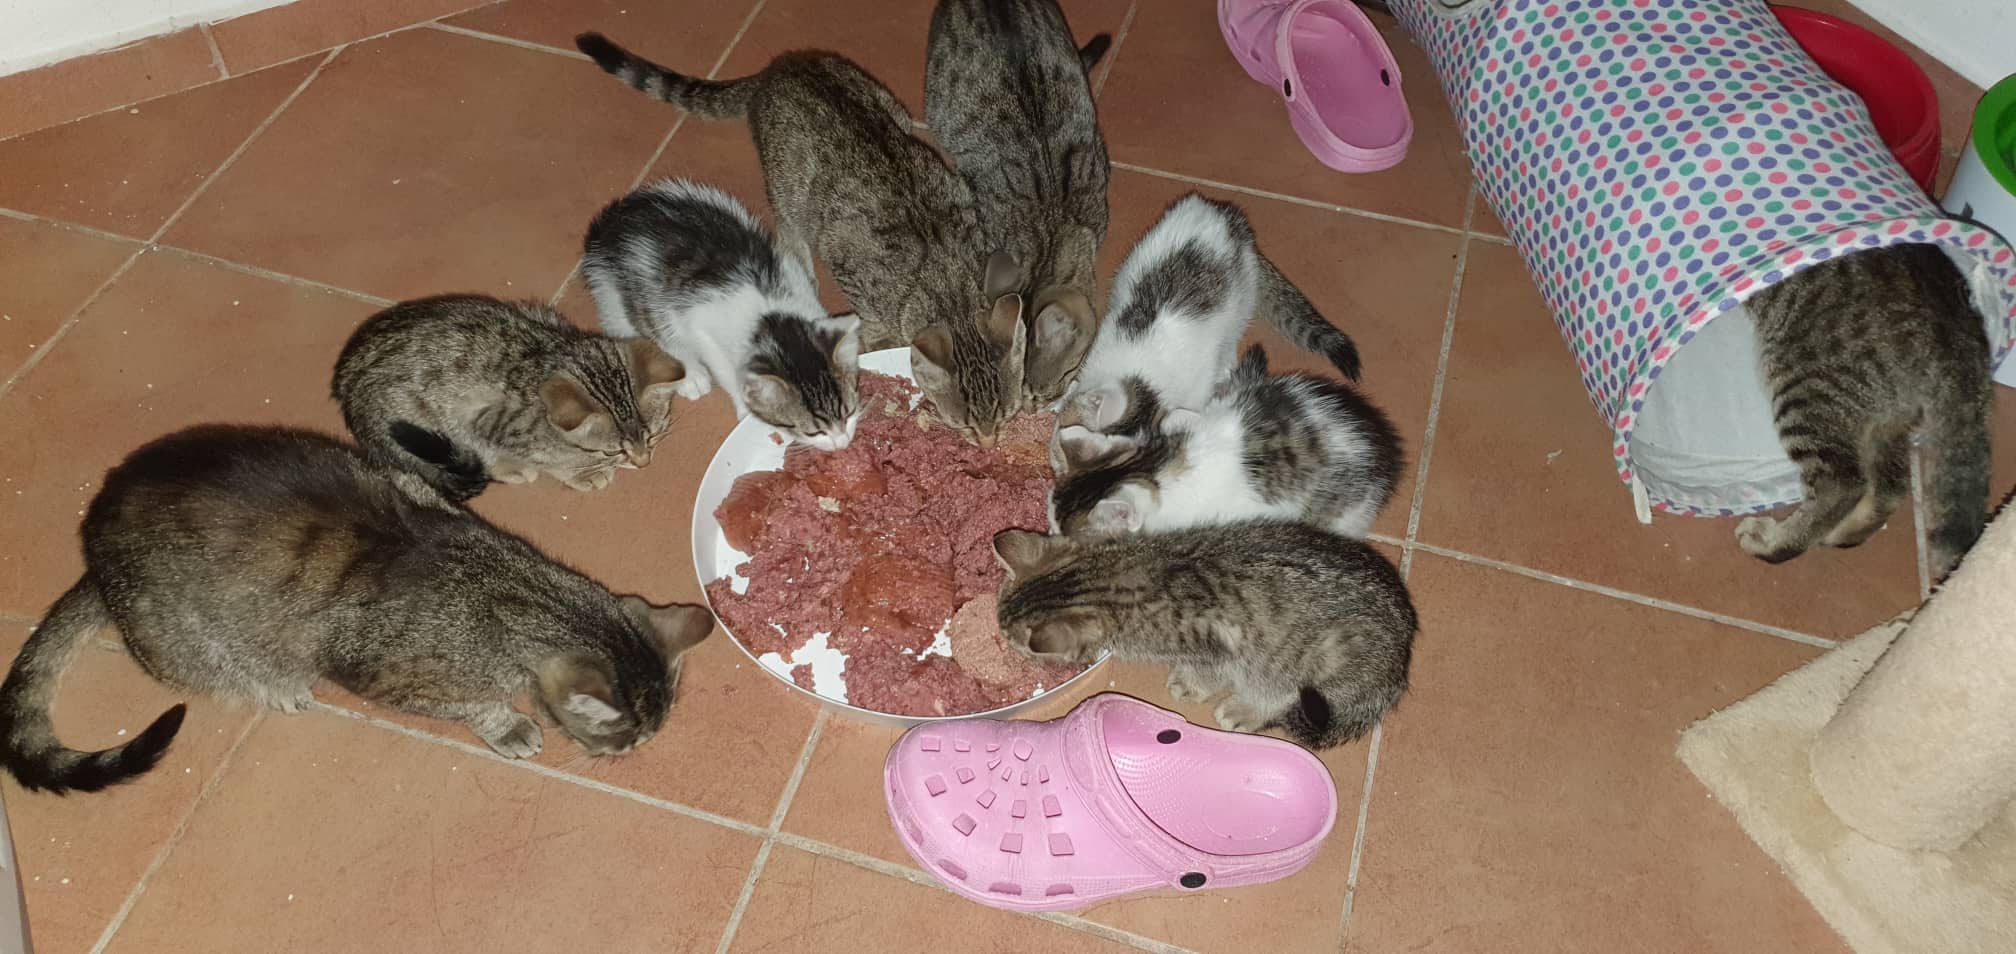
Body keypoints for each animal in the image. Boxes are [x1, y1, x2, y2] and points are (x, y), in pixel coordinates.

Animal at [0, 426, 714, 794]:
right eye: (626, 739)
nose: (631, 754)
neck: (510, 587)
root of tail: (93, 548)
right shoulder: (386, 677)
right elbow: (466, 704)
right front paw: (505, 723)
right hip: (187, 641)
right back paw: (275, 686)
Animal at [332, 293, 685, 502]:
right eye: (613, 451)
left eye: (651, 437)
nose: (643, 462)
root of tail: (343, 389)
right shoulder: (484, 421)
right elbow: (546, 459)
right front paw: (581, 472)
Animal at [582, 179, 863, 450]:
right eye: (813, 432)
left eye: (849, 413)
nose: (843, 444)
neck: (769, 314)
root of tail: (610, 224)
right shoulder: (701, 328)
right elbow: (725, 369)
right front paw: (743, 405)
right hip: (616, 297)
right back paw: (691, 375)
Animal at [992, 521, 1415, 749]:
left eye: (1015, 645)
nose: (1000, 640)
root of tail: (1397, 670)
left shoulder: (1215, 646)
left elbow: (1209, 672)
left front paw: (1192, 685)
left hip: (1309, 664)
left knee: (1280, 694)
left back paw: (1244, 709)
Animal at [1735, 243, 1992, 577]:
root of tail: (1960, 337)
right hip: (1885, 417)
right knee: (1891, 484)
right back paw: (1848, 530)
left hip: (1804, 386)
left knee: (1843, 483)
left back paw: (1774, 543)